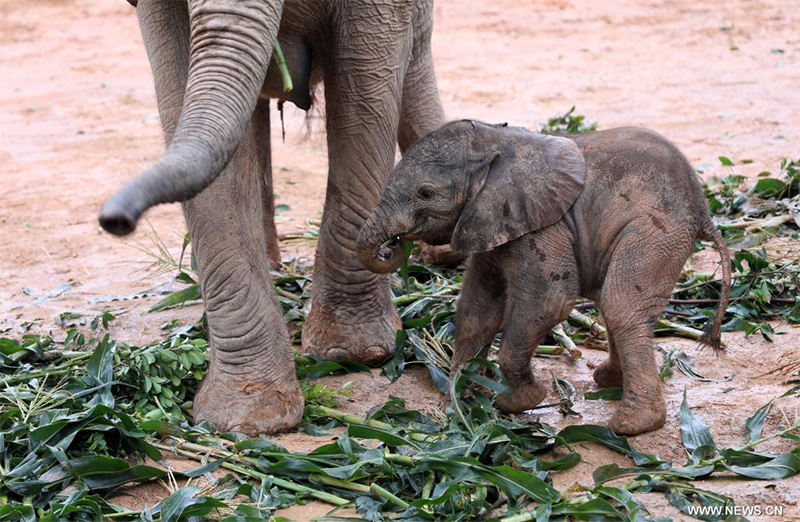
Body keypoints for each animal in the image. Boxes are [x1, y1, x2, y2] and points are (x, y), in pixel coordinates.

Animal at [100, 0, 444, 434]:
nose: (115, 220)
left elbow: (365, 99)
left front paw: (353, 354)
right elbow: (185, 101)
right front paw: (248, 421)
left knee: (416, 60)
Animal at [358, 120, 732, 432]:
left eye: (425, 193)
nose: (394, 247)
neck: (496, 140)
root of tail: (703, 208)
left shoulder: (543, 227)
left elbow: (548, 303)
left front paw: (518, 402)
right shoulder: (490, 223)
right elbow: (477, 309)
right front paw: (461, 400)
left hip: (656, 232)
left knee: (621, 305)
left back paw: (632, 426)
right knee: (613, 302)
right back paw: (608, 381)